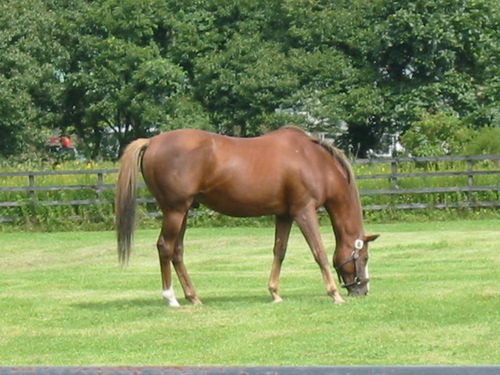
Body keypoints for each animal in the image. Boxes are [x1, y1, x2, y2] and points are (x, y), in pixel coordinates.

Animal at [115, 128, 376, 306]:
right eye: (364, 258)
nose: (363, 291)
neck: (313, 160)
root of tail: (151, 141)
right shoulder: (304, 211)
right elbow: (319, 252)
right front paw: (334, 294)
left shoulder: (284, 215)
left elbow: (279, 251)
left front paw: (275, 292)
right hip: (175, 210)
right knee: (165, 247)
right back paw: (171, 298)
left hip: (183, 212)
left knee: (177, 251)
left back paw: (194, 297)